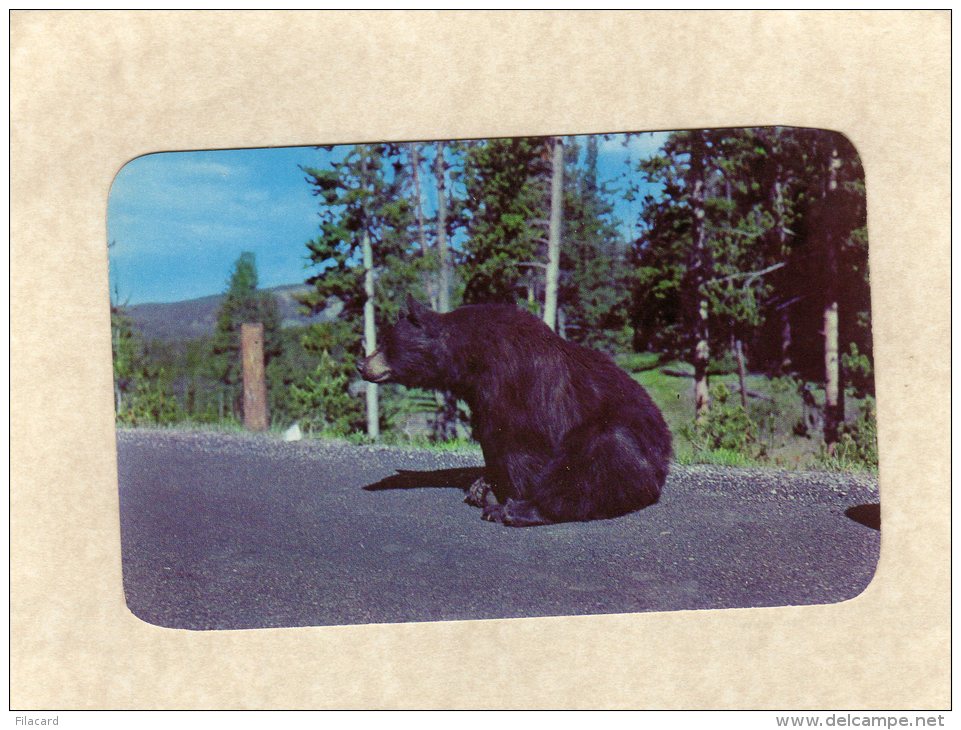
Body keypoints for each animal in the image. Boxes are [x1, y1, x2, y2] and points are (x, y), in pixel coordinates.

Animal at [356, 292, 672, 528]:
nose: (361, 364)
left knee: (594, 461)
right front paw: (484, 483)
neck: (471, 356)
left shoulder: (512, 381)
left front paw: (508, 496)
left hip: (621, 444)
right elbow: (491, 438)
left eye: (385, 342)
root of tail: (664, 463)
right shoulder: (480, 396)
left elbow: (520, 444)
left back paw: (518, 511)